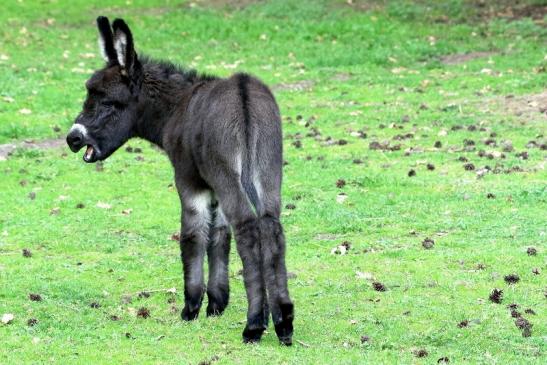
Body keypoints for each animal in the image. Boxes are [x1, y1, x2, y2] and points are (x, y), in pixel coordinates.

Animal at [66, 14, 294, 344]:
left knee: (247, 230)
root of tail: (244, 92)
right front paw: (216, 304)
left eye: (107, 102)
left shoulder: (189, 183)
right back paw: (284, 322)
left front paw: (192, 308)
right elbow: (219, 237)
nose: (72, 138)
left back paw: (253, 325)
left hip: (230, 177)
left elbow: (193, 235)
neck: (176, 108)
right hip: (268, 173)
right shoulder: (213, 189)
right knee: (271, 229)